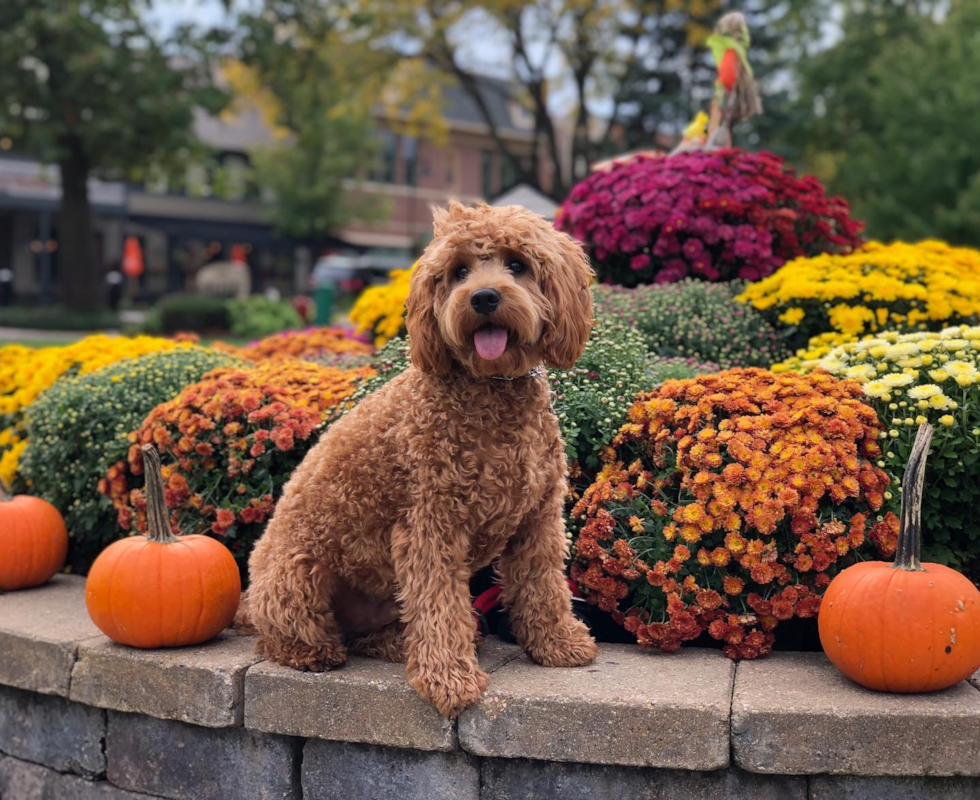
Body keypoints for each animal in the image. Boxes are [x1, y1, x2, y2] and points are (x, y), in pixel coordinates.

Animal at [245, 203, 596, 716]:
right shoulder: (431, 524)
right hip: (297, 574)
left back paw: (396, 643)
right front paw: (449, 679)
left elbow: (543, 586)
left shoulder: (538, 519)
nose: (484, 297)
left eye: (517, 264)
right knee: (285, 636)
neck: (491, 389)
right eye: (459, 272)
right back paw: (314, 652)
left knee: (373, 633)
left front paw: (558, 642)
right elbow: (439, 606)